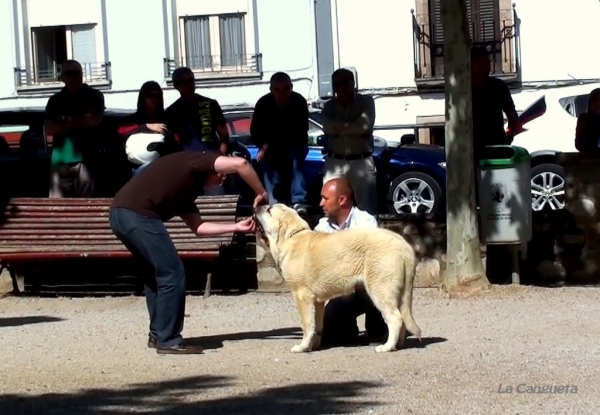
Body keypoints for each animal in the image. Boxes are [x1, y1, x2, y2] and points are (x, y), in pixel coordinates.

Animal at [254, 203, 422, 352]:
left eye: (269, 210)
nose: (257, 206)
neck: (292, 237)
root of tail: (403, 243)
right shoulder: (317, 302)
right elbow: (317, 326)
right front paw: (314, 346)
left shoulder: (302, 297)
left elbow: (307, 325)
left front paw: (302, 347)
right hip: (399, 293)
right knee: (403, 317)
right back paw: (398, 345)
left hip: (380, 289)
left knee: (395, 318)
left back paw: (387, 347)